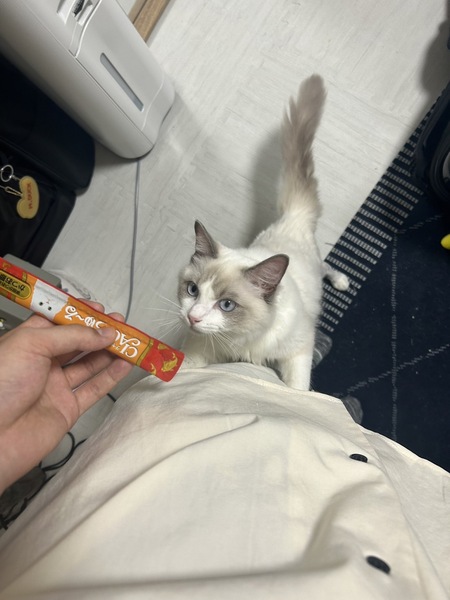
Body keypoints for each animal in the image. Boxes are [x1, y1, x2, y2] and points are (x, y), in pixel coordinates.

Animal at [177, 75, 349, 390]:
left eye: (227, 305)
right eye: (192, 290)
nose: (192, 318)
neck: (238, 342)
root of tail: (292, 215)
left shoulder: (299, 350)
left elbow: (297, 389)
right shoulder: (200, 350)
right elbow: (185, 368)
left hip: (315, 267)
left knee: (327, 268)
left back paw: (342, 281)